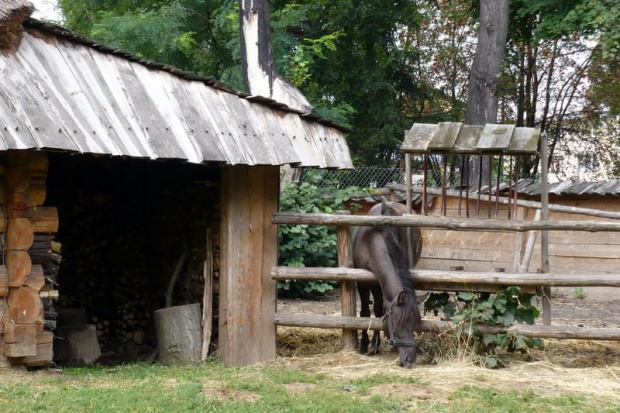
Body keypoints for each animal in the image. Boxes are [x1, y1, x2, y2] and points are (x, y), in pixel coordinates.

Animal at [354, 201, 422, 366]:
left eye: (414, 323)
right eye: (398, 324)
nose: (410, 359)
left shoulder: (379, 285)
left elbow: (379, 311)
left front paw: (375, 345)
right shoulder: (362, 282)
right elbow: (365, 312)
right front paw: (365, 345)